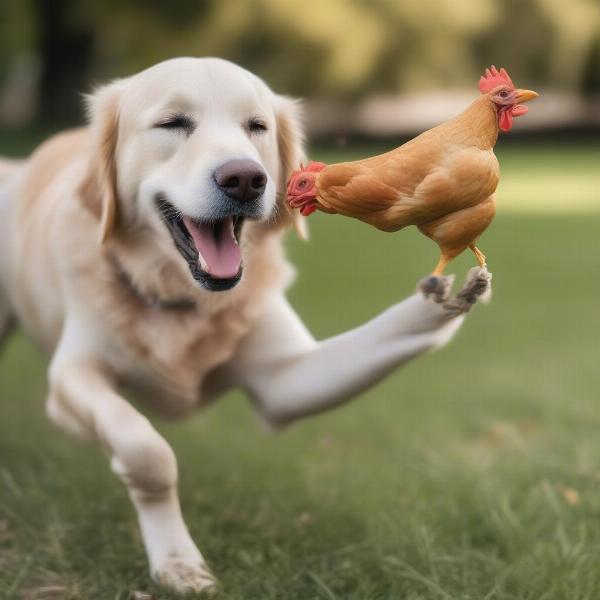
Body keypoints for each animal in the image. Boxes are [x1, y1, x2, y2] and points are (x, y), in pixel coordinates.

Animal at [0, 58, 490, 592]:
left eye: (256, 127)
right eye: (172, 123)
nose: (245, 179)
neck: (183, 298)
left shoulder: (285, 382)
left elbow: (389, 329)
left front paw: (446, 297)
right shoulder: (71, 377)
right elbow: (147, 452)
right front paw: (177, 559)